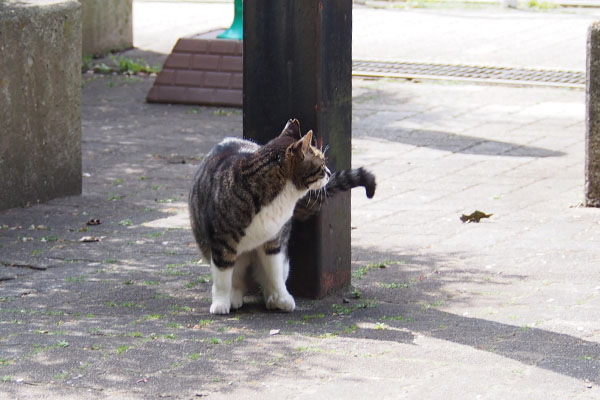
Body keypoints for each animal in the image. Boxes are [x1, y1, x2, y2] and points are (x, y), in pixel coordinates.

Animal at [189, 119, 376, 316]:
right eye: (322, 163)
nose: (330, 173)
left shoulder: (273, 240)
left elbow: (274, 273)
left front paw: (280, 298)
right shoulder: (222, 242)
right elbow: (223, 277)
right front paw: (221, 302)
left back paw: (271, 298)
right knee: (235, 275)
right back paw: (234, 296)